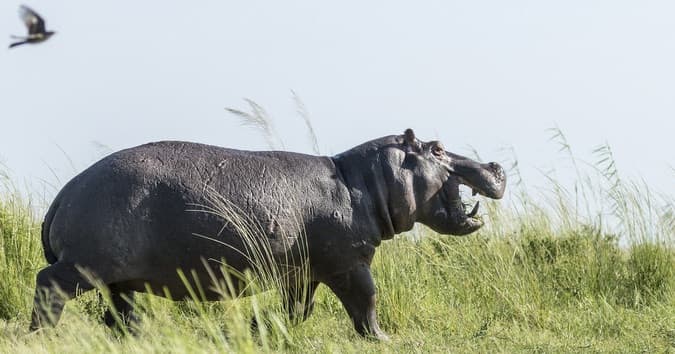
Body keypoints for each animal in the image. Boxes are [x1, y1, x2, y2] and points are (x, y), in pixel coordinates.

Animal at [31, 129, 508, 338]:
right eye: (438, 148)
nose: (495, 165)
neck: (364, 182)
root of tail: (65, 193)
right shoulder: (350, 262)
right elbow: (366, 301)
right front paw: (382, 340)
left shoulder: (305, 271)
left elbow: (299, 308)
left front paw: (265, 331)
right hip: (83, 266)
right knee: (47, 285)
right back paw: (43, 335)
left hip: (118, 279)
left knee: (121, 312)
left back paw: (137, 339)